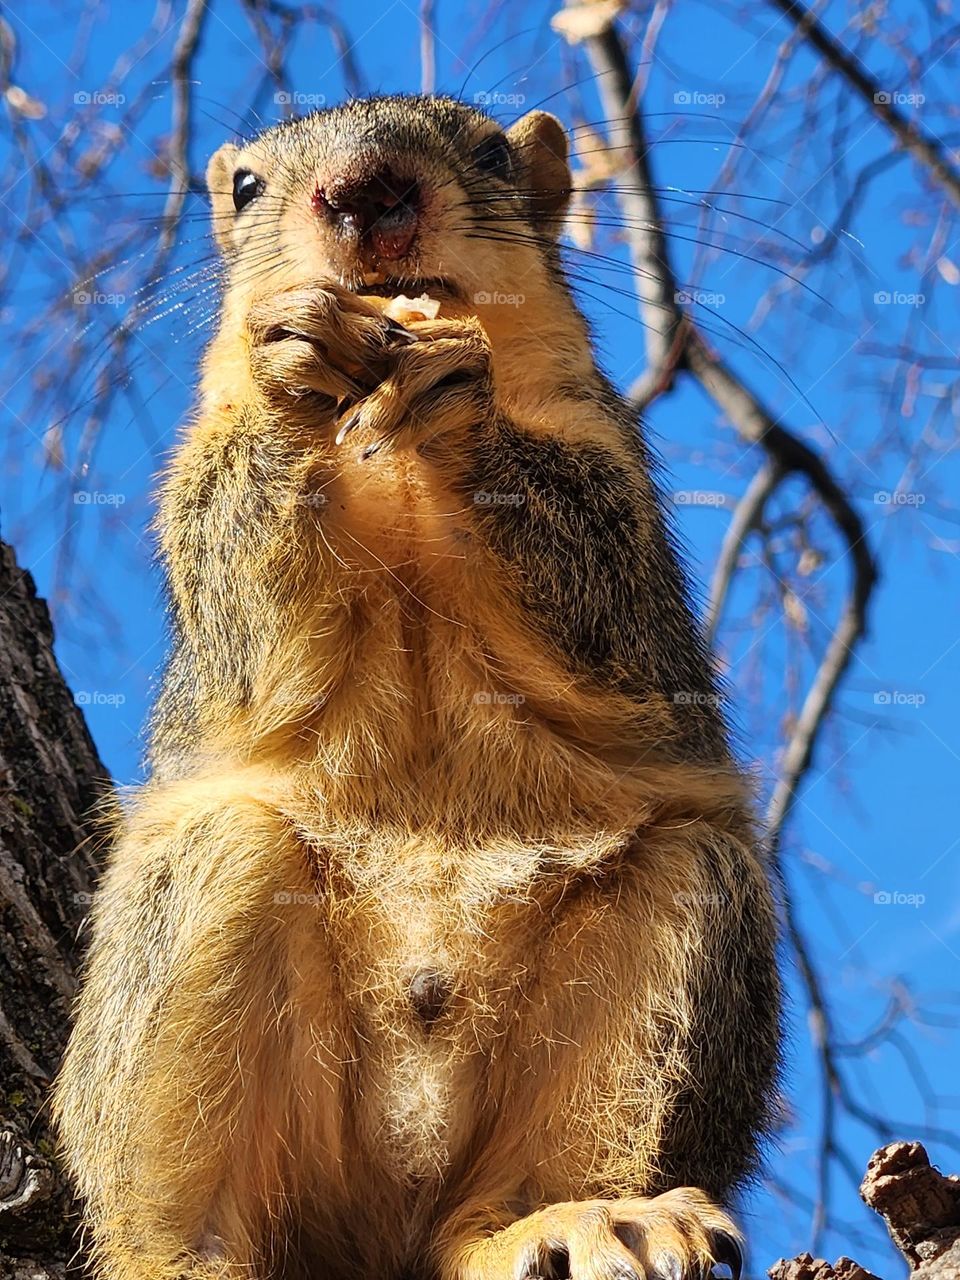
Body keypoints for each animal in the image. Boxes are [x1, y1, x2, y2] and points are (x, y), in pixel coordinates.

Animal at [53, 95, 781, 1280]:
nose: (365, 191)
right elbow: (234, 579)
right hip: (195, 927)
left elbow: (602, 583)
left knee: (515, 1196)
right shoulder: (205, 509)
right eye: (246, 187)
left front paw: (459, 392)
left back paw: (589, 1217)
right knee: (170, 1204)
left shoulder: (616, 495)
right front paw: (288, 368)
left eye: (488, 153)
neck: (385, 451)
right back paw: (182, 1255)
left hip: (676, 926)